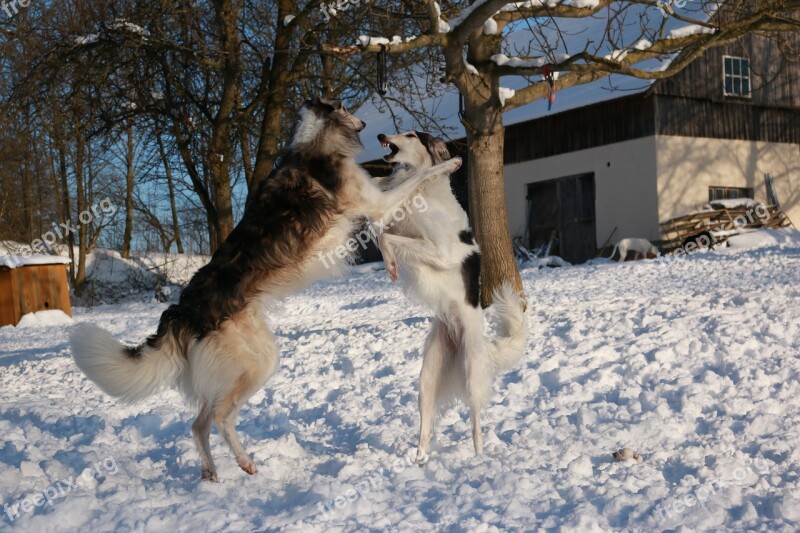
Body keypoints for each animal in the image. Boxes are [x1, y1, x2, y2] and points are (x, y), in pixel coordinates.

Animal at [71, 97, 460, 480]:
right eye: (345, 107)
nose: (370, 127)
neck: (314, 144)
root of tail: (182, 310)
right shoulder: (374, 202)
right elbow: (418, 175)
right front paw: (450, 162)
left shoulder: (374, 195)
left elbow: (392, 190)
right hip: (252, 366)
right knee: (219, 417)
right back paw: (244, 462)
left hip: (248, 360)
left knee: (198, 424)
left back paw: (212, 473)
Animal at [376, 130, 528, 462]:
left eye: (410, 134)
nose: (380, 134)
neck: (425, 191)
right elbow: (383, 234)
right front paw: (389, 264)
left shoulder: (440, 252)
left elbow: (387, 238)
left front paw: (391, 265)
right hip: (427, 379)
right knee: (425, 428)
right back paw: (418, 461)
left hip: (471, 375)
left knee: (476, 425)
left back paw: (479, 458)